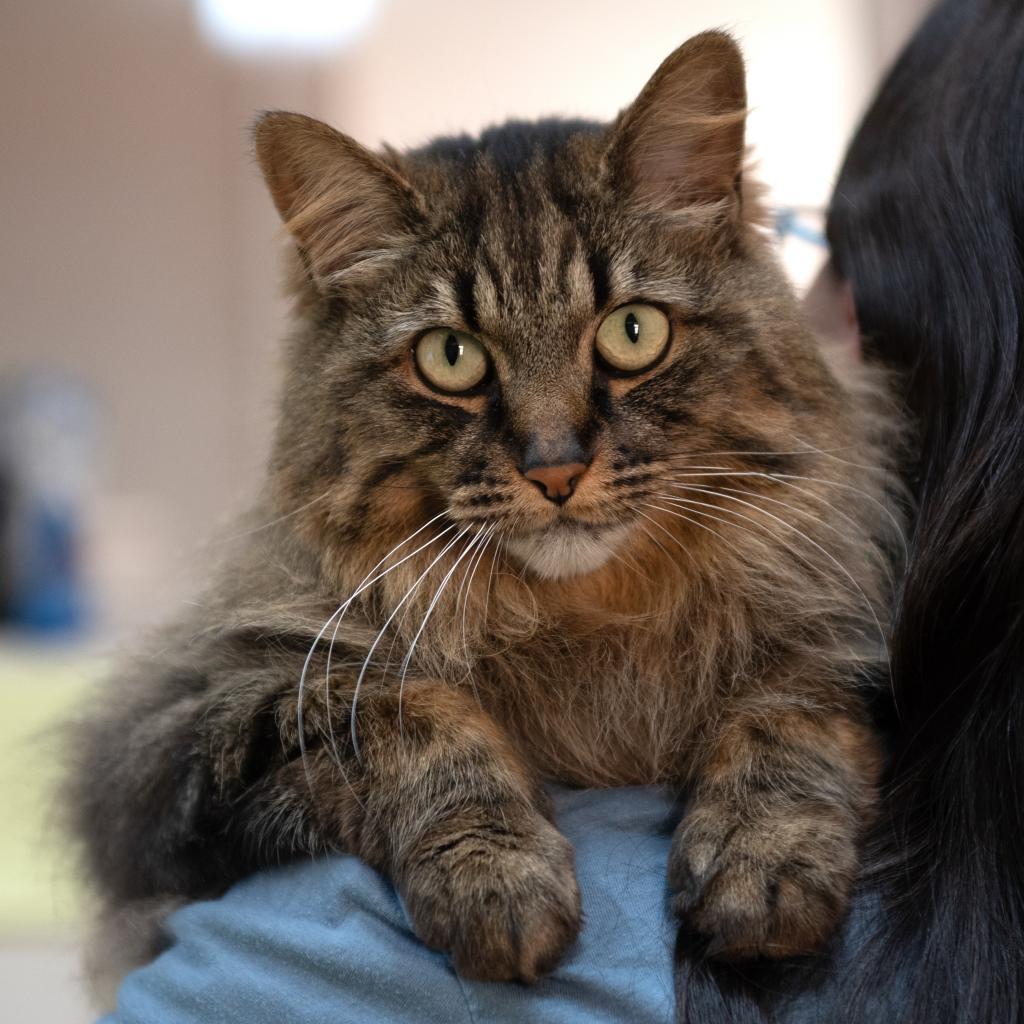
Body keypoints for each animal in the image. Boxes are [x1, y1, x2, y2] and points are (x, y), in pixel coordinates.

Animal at [66, 28, 905, 995]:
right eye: (452, 357)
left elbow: (787, 709)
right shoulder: (167, 738)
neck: (591, 624)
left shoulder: (833, 639)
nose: (556, 468)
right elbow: (405, 709)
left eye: (632, 333)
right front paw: (497, 878)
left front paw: (762, 862)